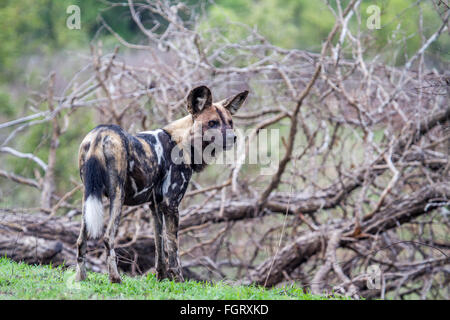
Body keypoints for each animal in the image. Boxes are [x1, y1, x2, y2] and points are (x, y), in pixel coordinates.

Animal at [75, 85, 248, 282]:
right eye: (212, 123)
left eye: (230, 122)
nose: (233, 137)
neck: (183, 141)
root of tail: (100, 133)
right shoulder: (171, 205)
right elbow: (173, 249)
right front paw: (179, 281)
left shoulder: (156, 206)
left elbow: (159, 246)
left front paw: (161, 278)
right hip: (117, 197)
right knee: (107, 237)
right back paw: (115, 279)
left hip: (88, 197)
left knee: (81, 240)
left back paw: (81, 278)